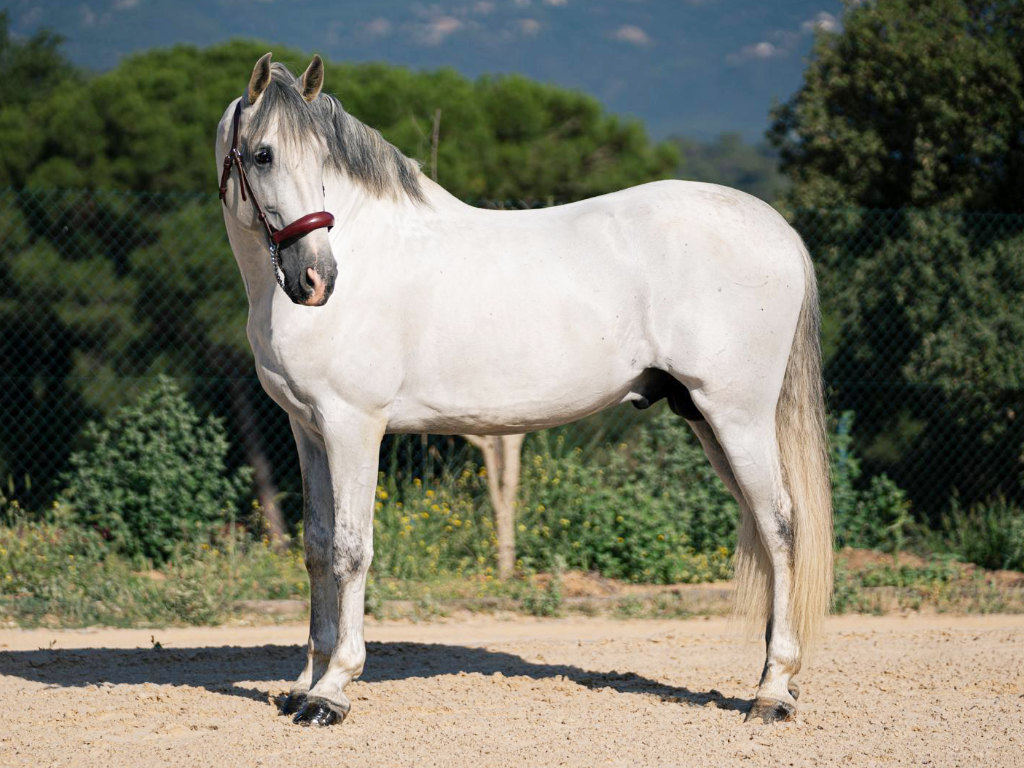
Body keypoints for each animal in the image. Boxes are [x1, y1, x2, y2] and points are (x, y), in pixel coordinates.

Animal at [216, 53, 832, 727]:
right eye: (264, 155)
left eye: (321, 160)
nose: (316, 279)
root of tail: (777, 229)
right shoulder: (309, 430)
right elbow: (318, 548)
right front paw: (303, 685)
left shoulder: (353, 424)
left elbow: (352, 550)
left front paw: (332, 692)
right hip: (703, 415)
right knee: (765, 529)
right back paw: (777, 682)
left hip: (739, 416)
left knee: (780, 525)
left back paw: (772, 693)